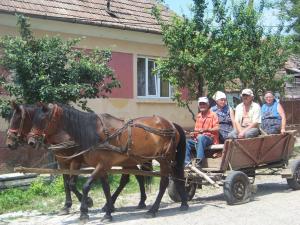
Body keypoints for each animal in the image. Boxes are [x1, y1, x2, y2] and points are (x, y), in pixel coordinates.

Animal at [6, 103, 151, 214]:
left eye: (17, 120)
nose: (9, 143)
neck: (64, 134)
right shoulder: (63, 162)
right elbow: (66, 183)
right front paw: (67, 205)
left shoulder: (75, 161)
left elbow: (71, 183)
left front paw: (87, 201)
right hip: (127, 161)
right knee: (135, 177)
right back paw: (135, 201)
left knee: (133, 177)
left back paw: (137, 201)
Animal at [28, 103, 188, 221]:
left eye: (42, 121)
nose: (31, 141)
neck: (94, 132)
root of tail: (171, 124)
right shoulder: (100, 166)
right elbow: (104, 187)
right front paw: (108, 211)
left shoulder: (101, 164)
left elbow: (86, 186)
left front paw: (85, 211)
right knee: (176, 177)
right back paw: (184, 203)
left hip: (164, 159)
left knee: (164, 182)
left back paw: (153, 209)